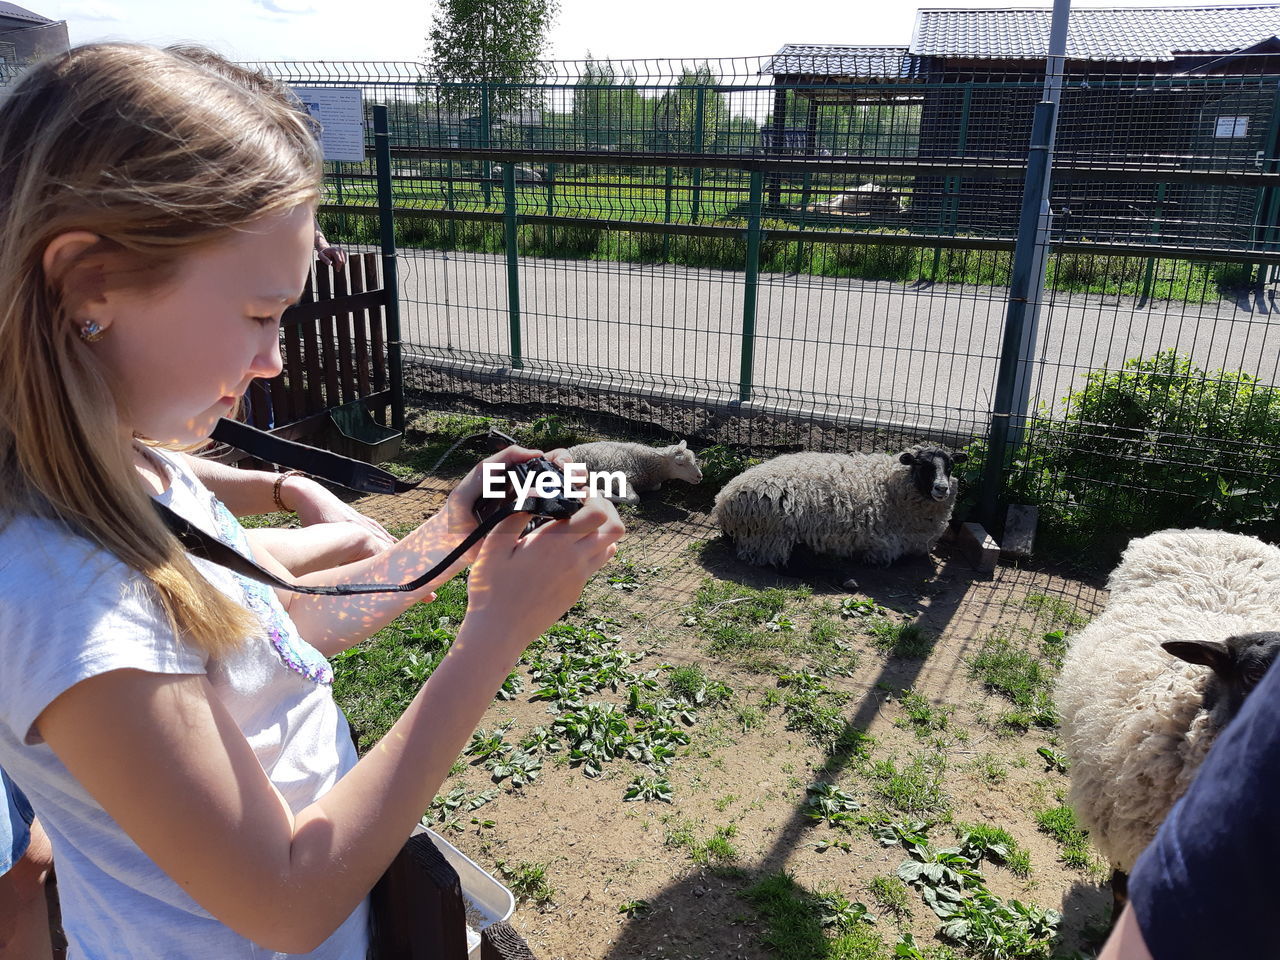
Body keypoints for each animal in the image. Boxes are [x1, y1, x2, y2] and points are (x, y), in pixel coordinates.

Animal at [563, 442, 701, 506]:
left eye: (694, 458)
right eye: (679, 463)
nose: (700, 476)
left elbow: (657, 486)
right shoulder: (619, 475)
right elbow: (634, 499)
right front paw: (602, 493)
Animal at [706, 445, 962, 570]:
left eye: (949, 465)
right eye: (923, 465)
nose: (942, 488)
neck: (889, 487)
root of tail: (723, 500)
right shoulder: (882, 545)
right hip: (771, 535)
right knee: (775, 559)